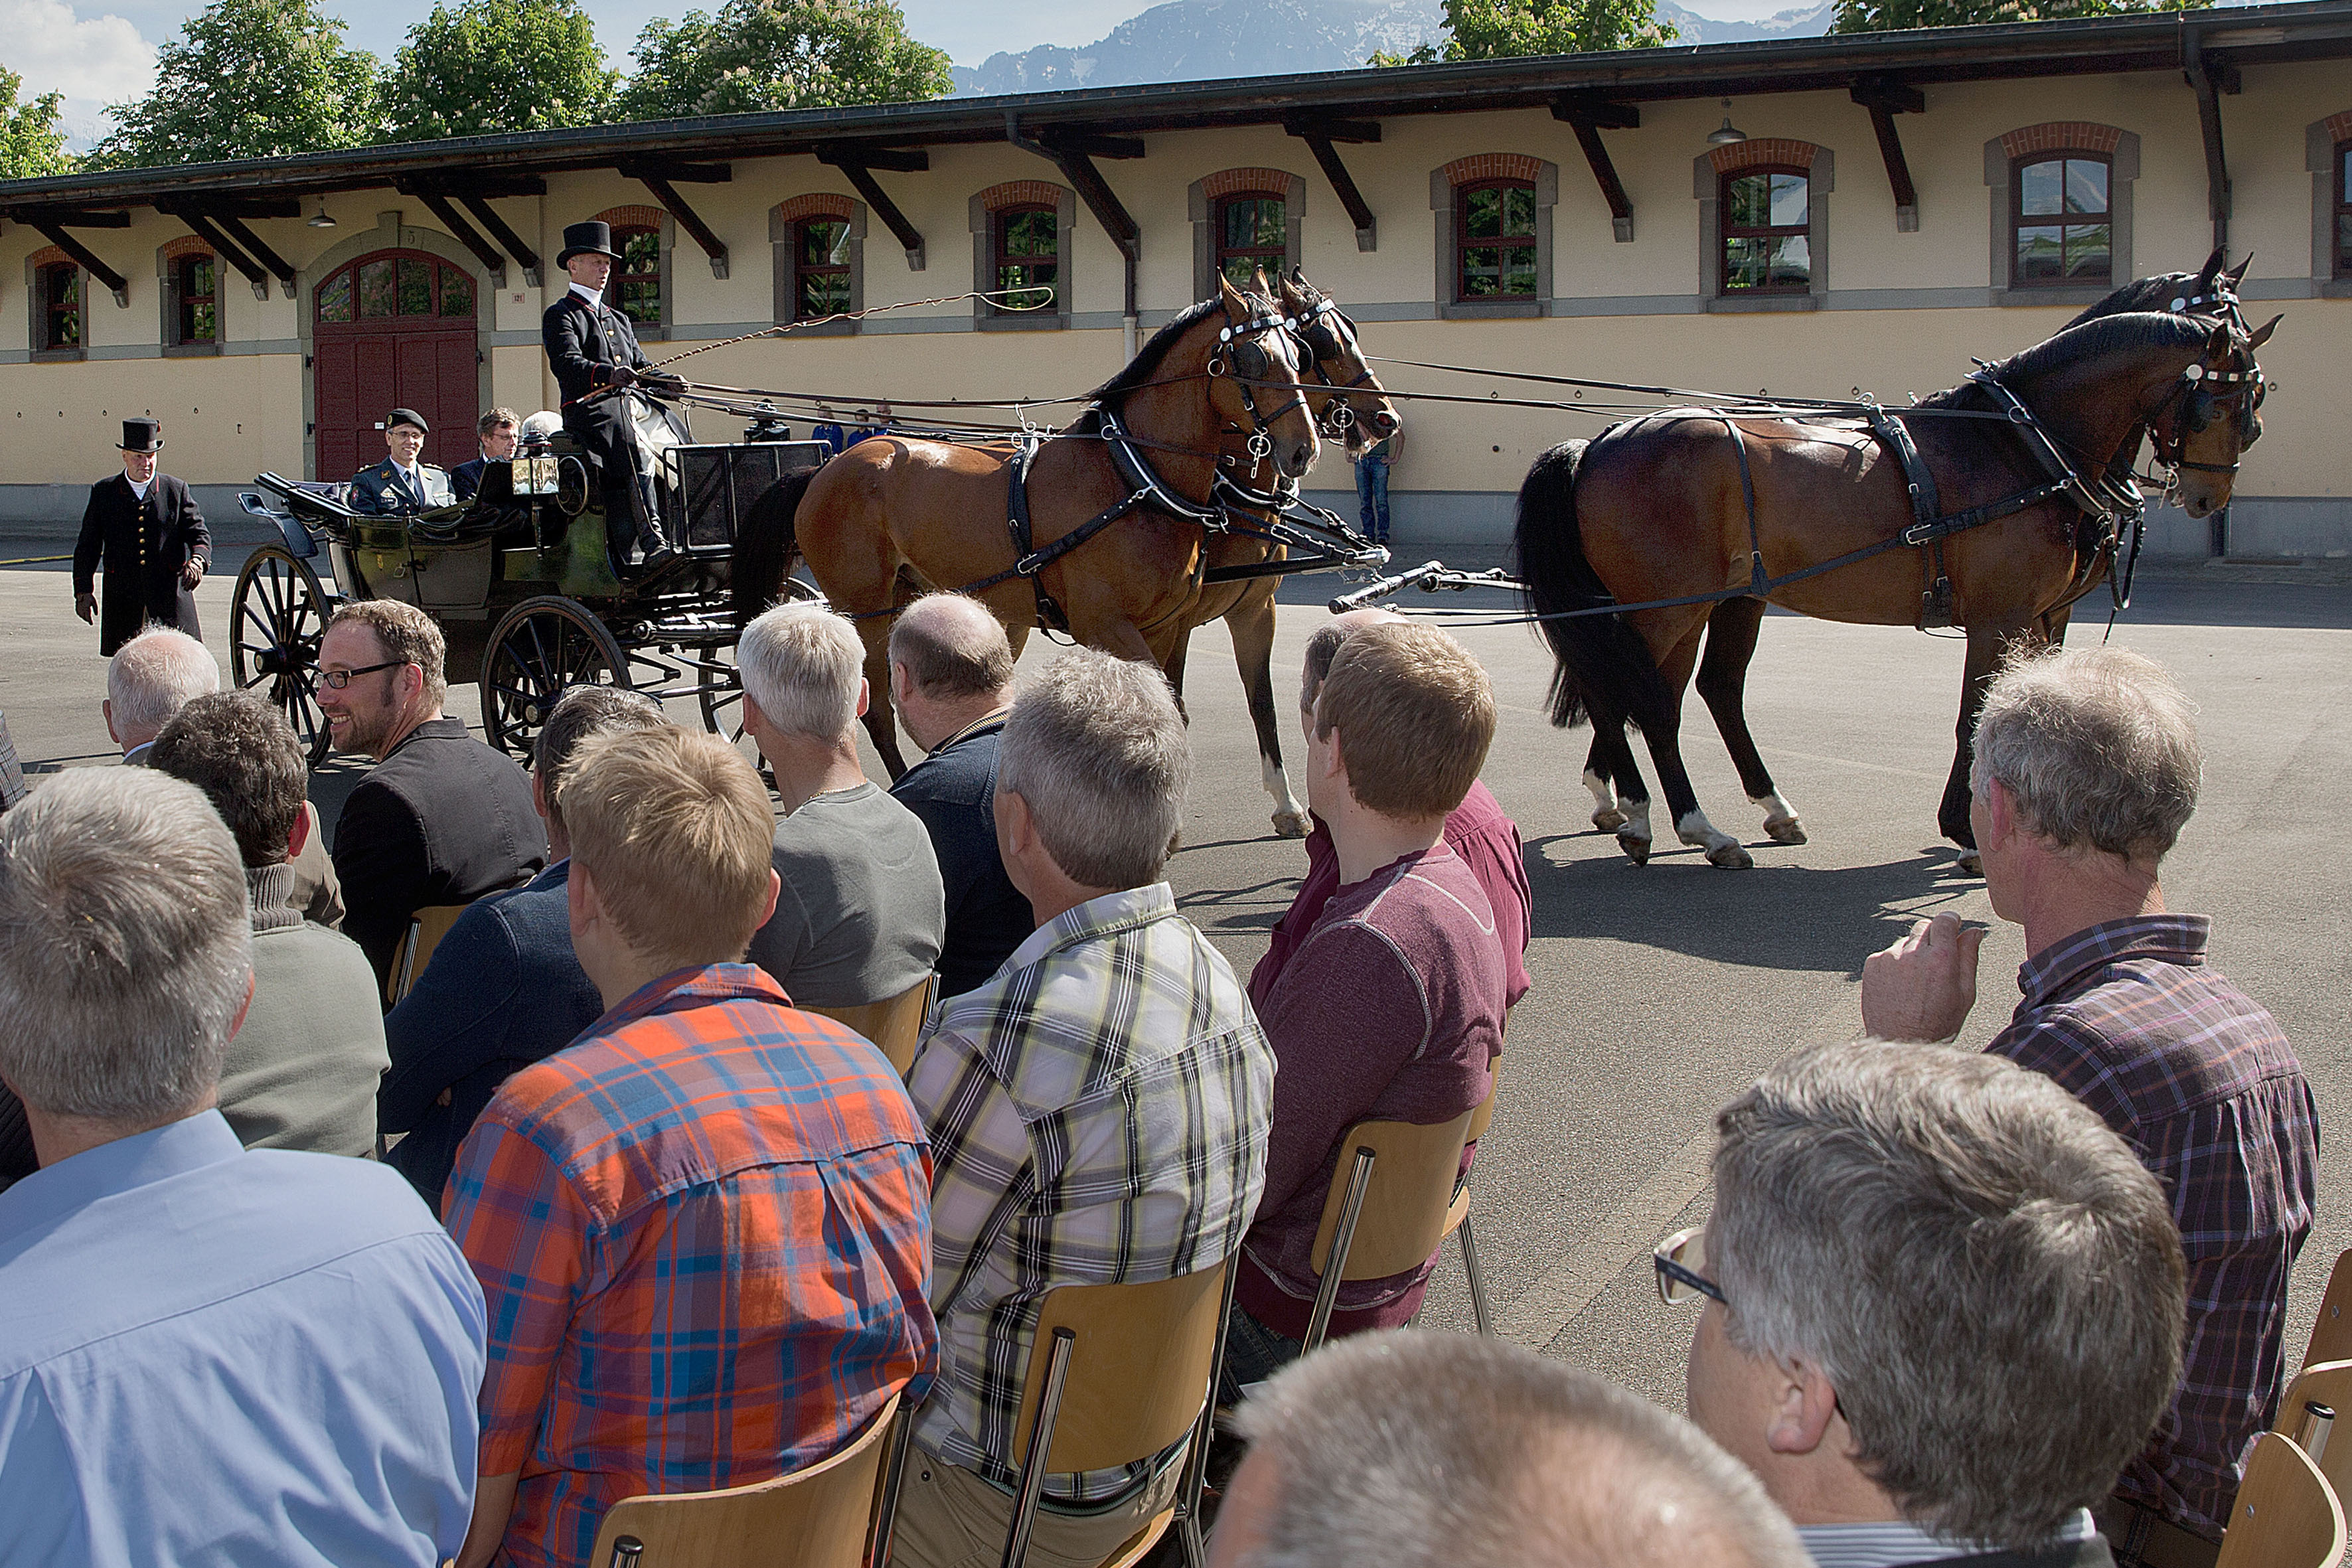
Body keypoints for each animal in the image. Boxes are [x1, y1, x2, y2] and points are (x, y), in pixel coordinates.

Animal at [734, 272, 1326, 785]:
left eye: (1299, 355)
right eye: (1253, 359)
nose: (1304, 450)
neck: (1131, 476)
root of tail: (824, 468)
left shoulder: (1168, 627)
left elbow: (1171, 713)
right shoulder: (1106, 625)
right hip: (864, 609)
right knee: (876, 707)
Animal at [1514, 303, 2267, 870]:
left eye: (2254, 404)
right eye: (2220, 404)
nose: (2208, 498)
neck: (2019, 444)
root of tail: (1602, 440)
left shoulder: (2047, 618)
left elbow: (2033, 707)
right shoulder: (1999, 616)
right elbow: (1974, 714)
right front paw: (1965, 833)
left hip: (1723, 601)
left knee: (1691, 695)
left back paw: (1728, 813)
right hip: (1668, 607)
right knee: (1627, 696)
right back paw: (1666, 820)